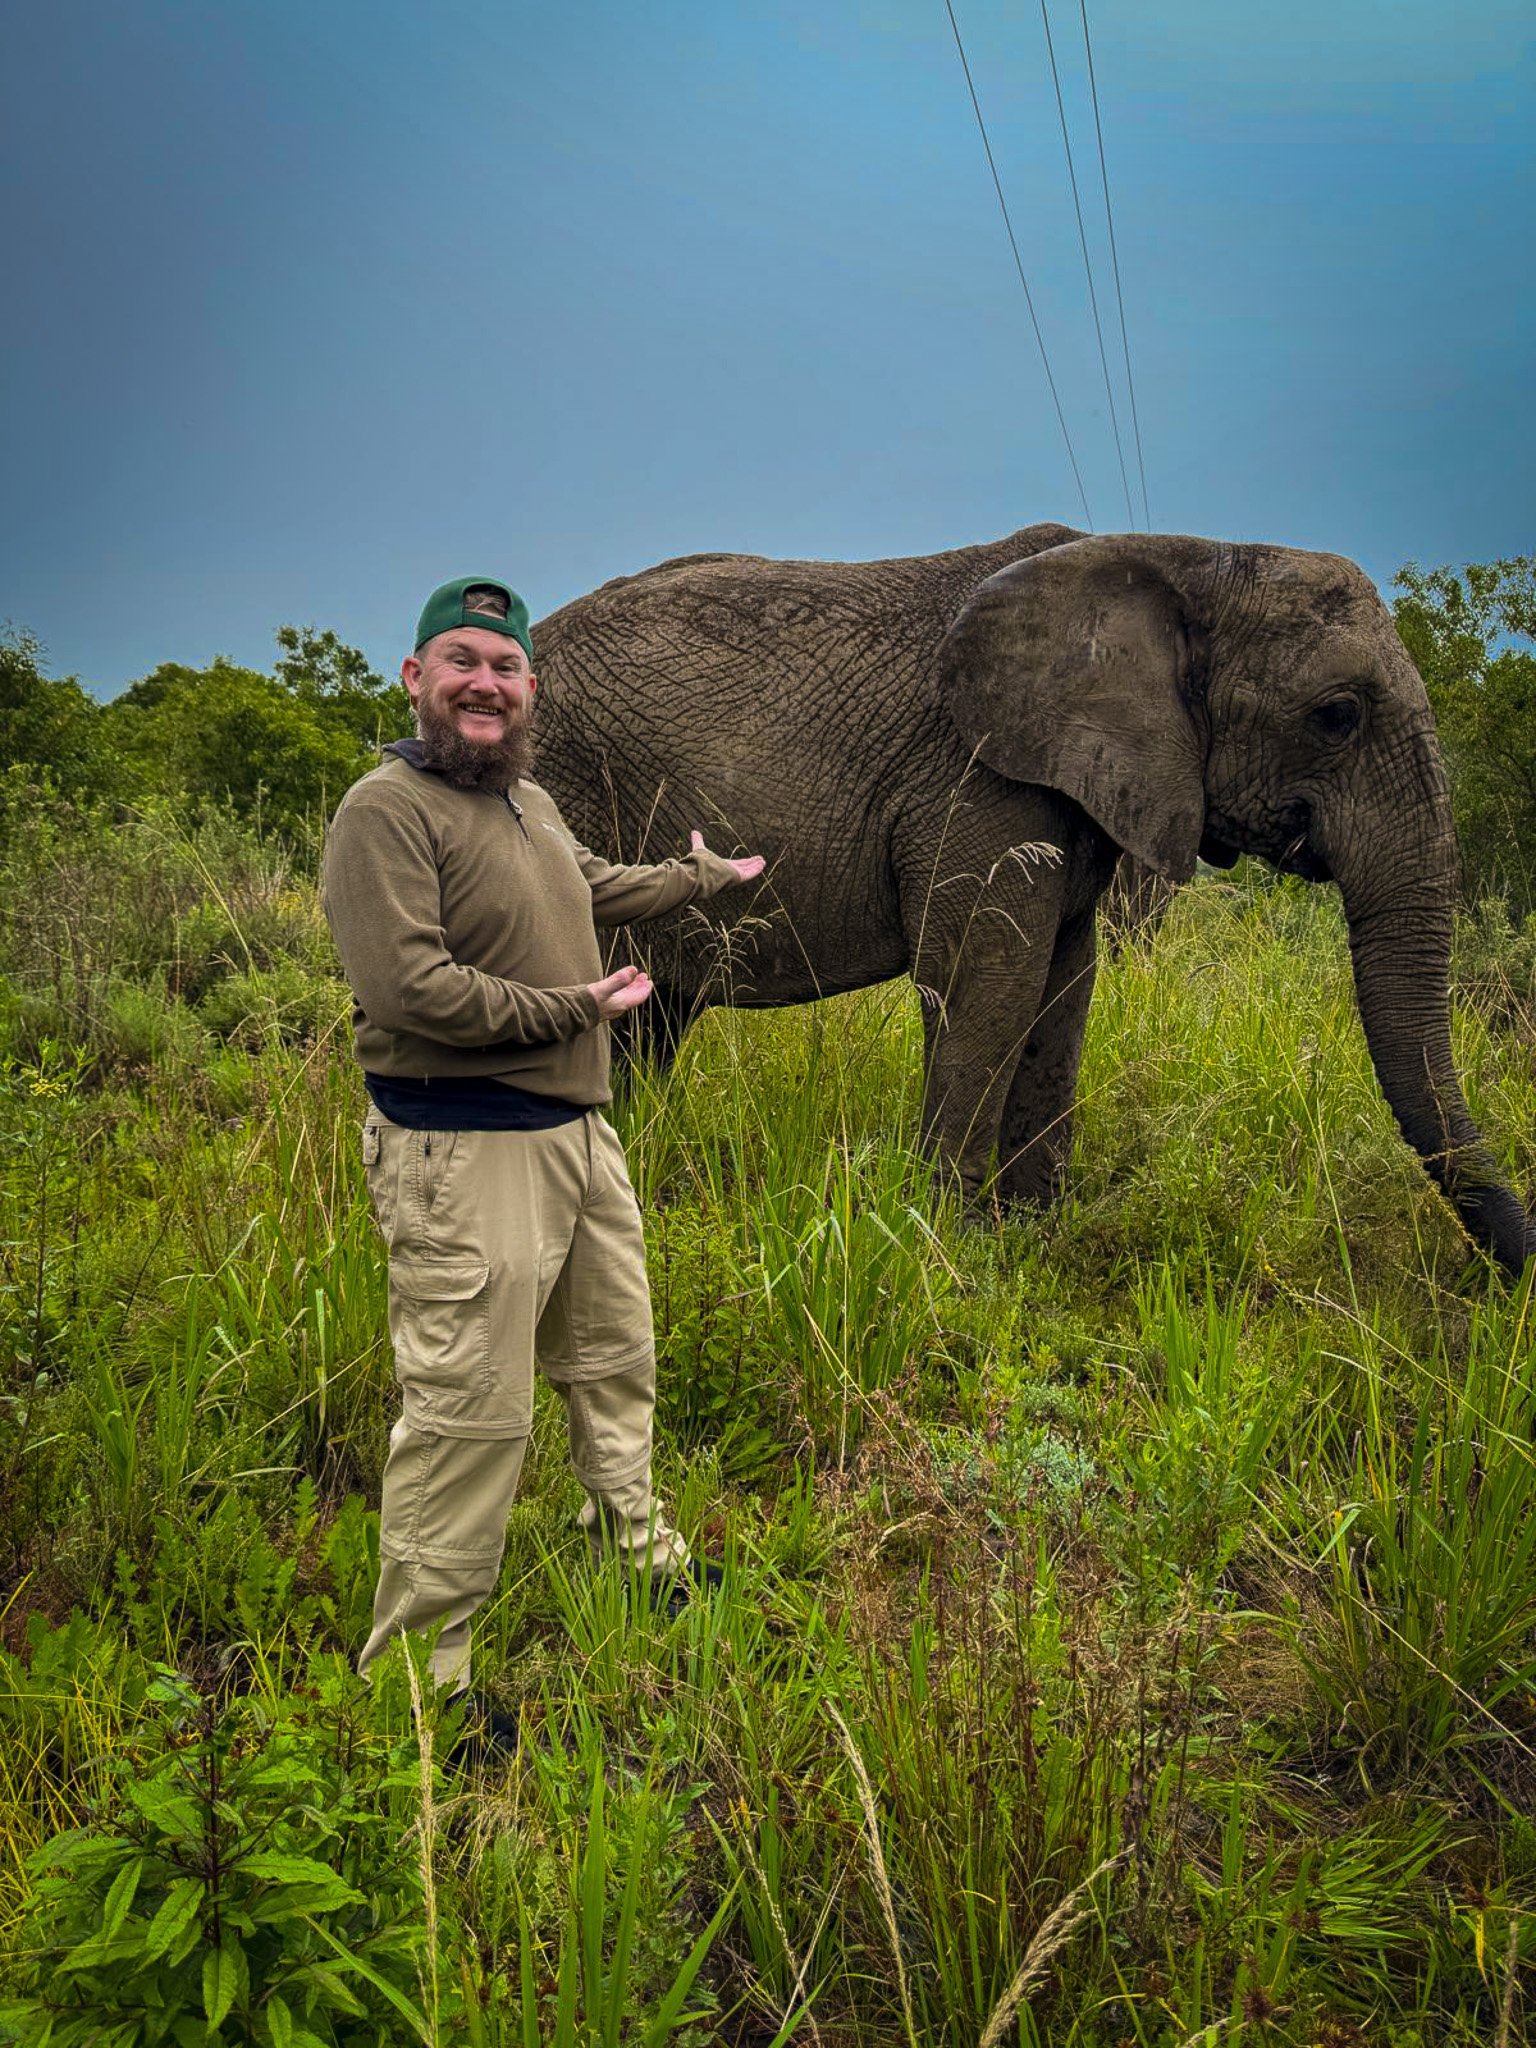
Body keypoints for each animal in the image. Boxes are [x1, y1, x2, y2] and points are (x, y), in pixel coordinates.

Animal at [530, 522, 1533, 1275]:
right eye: (1337, 715)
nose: (1507, 1283)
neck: (1191, 559)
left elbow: (1063, 989)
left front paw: (1036, 1237)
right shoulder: (976, 779)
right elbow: (991, 984)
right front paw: (947, 1246)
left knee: (650, 1024)